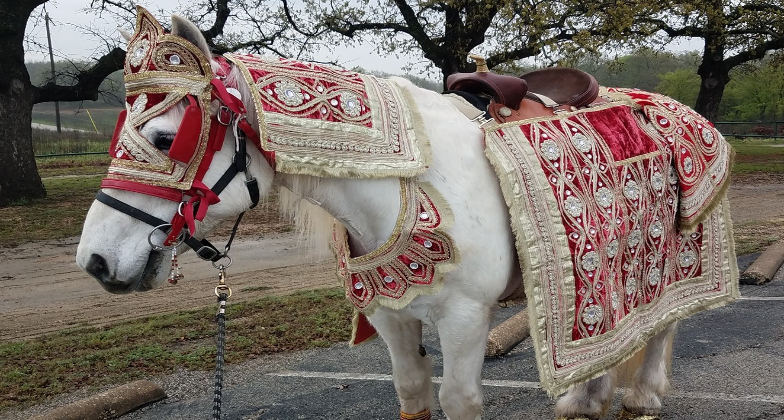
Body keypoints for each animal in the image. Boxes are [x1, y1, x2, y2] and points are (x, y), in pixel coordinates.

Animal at [75, 12, 688, 420]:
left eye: (163, 138)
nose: (96, 261)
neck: (409, 183)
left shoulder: (467, 319)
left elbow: (457, 399)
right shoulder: (393, 317)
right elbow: (413, 391)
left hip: (668, 255)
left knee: (663, 323)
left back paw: (642, 396)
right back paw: (585, 398)